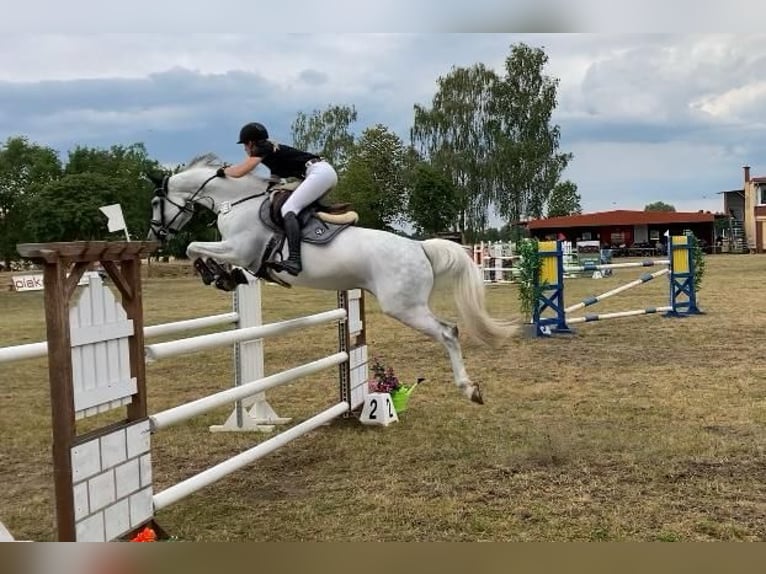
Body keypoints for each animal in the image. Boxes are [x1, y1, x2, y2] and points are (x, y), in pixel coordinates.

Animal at [147, 153, 520, 404]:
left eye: (154, 202)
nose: (155, 236)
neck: (236, 201)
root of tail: (419, 246)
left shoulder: (239, 250)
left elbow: (195, 248)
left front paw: (215, 274)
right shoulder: (240, 254)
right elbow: (204, 252)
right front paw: (225, 278)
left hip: (404, 307)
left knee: (448, 332)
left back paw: (469, 389)